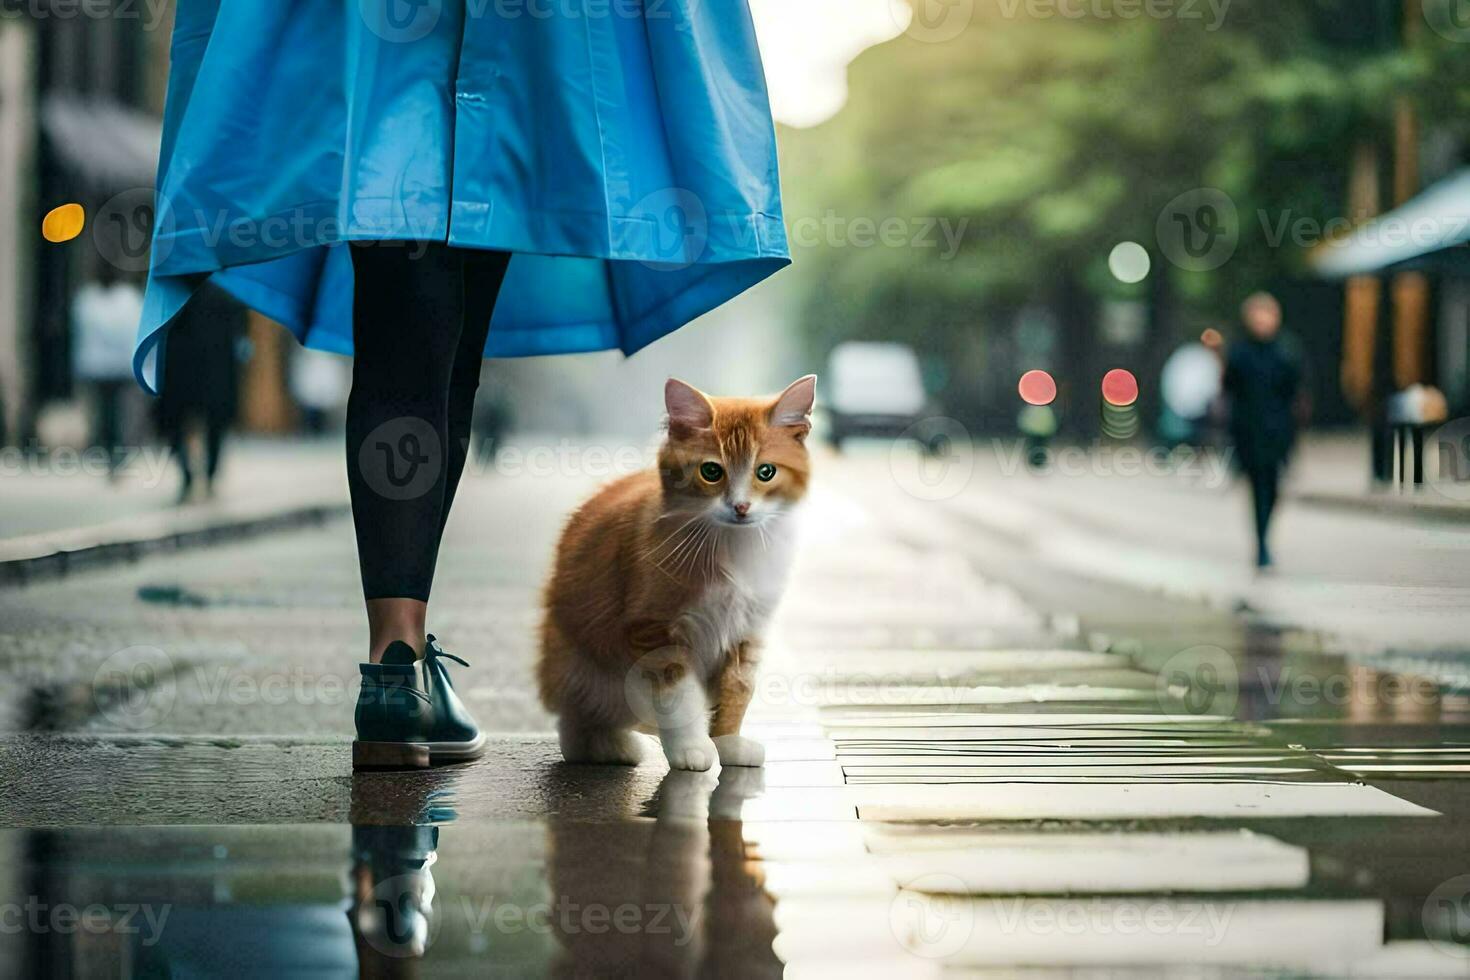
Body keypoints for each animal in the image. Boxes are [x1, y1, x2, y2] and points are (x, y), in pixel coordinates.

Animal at [538, 379, 817, 775]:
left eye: (765, 472)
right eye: (712, 472)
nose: (741, 507)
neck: (731, 544)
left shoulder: (747, 632)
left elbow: (737, 691)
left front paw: (727, 743)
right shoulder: (656, 631)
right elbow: (678, 696)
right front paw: (691, 748)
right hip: (591, 667)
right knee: (577, 728)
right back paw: (619, 746)